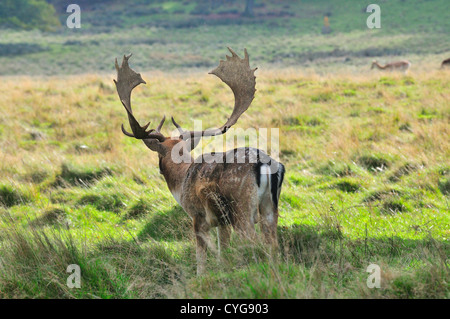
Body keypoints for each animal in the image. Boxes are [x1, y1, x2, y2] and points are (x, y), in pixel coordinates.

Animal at [114, 48, 286, 276]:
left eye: (159, 156)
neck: (181, 181)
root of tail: (264, 164)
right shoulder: (222, 222)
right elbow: (223, 252)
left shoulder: (198, 216)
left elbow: (201, 257)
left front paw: (201, 277)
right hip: (269, 207)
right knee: (273, 245)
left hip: (241, 207)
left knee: (255, 243)